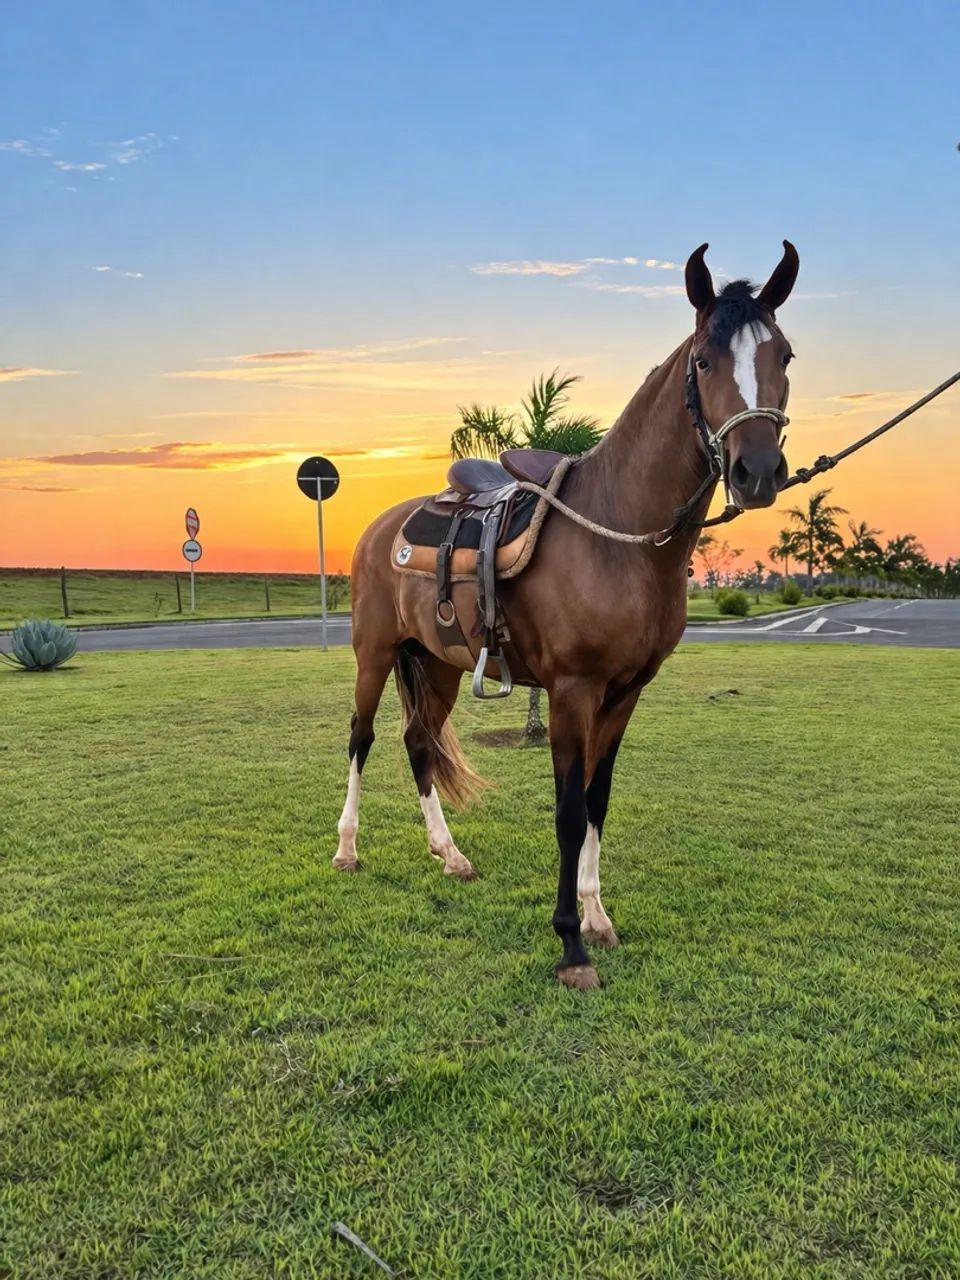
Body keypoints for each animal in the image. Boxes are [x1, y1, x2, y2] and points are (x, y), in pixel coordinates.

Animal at [334, 240, 799, 989]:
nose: (757, 471)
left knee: (418, 743)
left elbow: (597, 801)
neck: (618, 536)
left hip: (437, 664)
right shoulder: (572, 692)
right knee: (362, 737)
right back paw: (347, 849)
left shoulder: (626, 692)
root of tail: (381, 528)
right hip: (374, 654)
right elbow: (568, 811)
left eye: (783, 355)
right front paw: (570, 947)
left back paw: (450, 854)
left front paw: (597, 918)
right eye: (704, 361)